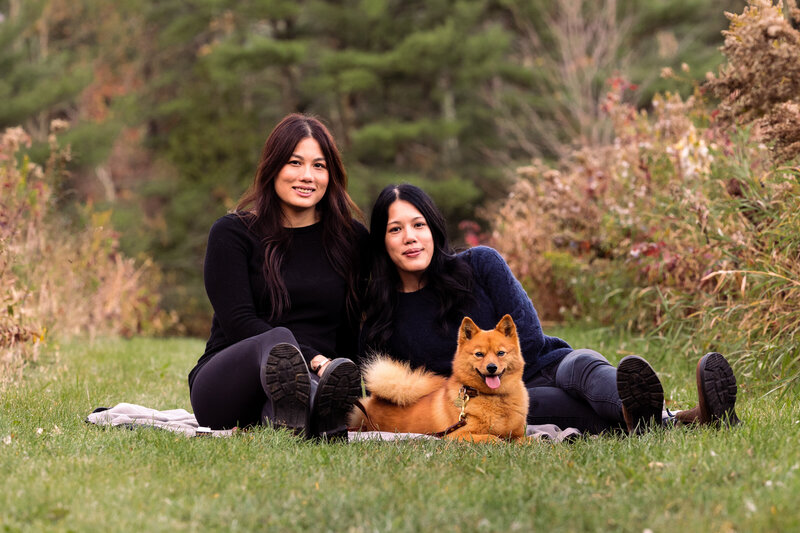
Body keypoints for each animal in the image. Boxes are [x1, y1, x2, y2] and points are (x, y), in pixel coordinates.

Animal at [346, 316, 528, 440]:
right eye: (479, 354)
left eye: (501, 353)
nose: (491, 367)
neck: (495, 398)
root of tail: (375, 399)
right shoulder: (456, 435)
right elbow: (493, 438)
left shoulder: (518, 434)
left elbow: (527, 441)